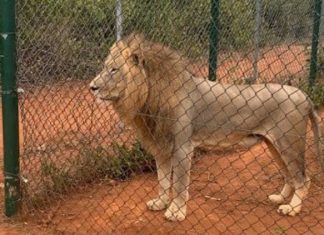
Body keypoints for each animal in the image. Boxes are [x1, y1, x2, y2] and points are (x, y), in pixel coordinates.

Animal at [88, 33, 322, 222]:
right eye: (105, 67)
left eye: (114, 69)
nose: (92, 87)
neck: (150, 96)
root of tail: (305, 95)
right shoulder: (161, 146)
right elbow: (163, 180)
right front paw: (160, 203)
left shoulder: (183, 147)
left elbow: (179, 184)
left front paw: (176, 212)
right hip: (274, 145)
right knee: (290, 176)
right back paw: (280, 198)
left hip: (289, 143)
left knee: (303, 178)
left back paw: (292, 208)